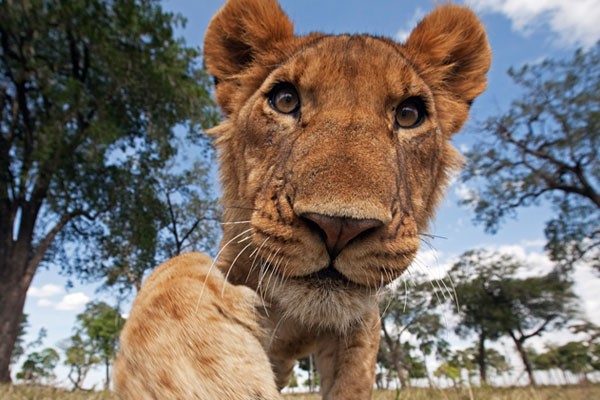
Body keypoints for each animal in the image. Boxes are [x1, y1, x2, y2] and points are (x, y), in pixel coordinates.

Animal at [113, 0, 492, 396]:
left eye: (408, 114)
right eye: (285, 100)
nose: (339, 227)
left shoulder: (359, 322)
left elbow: (354, 379)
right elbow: (173, 270)